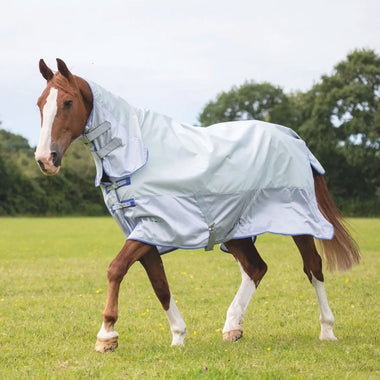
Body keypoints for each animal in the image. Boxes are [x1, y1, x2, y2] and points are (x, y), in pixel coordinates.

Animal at [35, 58, 360, 354]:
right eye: (40, 104)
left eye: (67, 102)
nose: (45, 159)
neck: (137, 155)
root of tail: (292, 137)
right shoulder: (144, 234)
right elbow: (159, 284)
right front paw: (178, 336)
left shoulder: (152, 229)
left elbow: (116, 269)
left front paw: (107, 335)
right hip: (236, 230)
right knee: (256, 268)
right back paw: (232, 327)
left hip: (297, 222)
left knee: (312, 267)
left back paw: (327, 330)